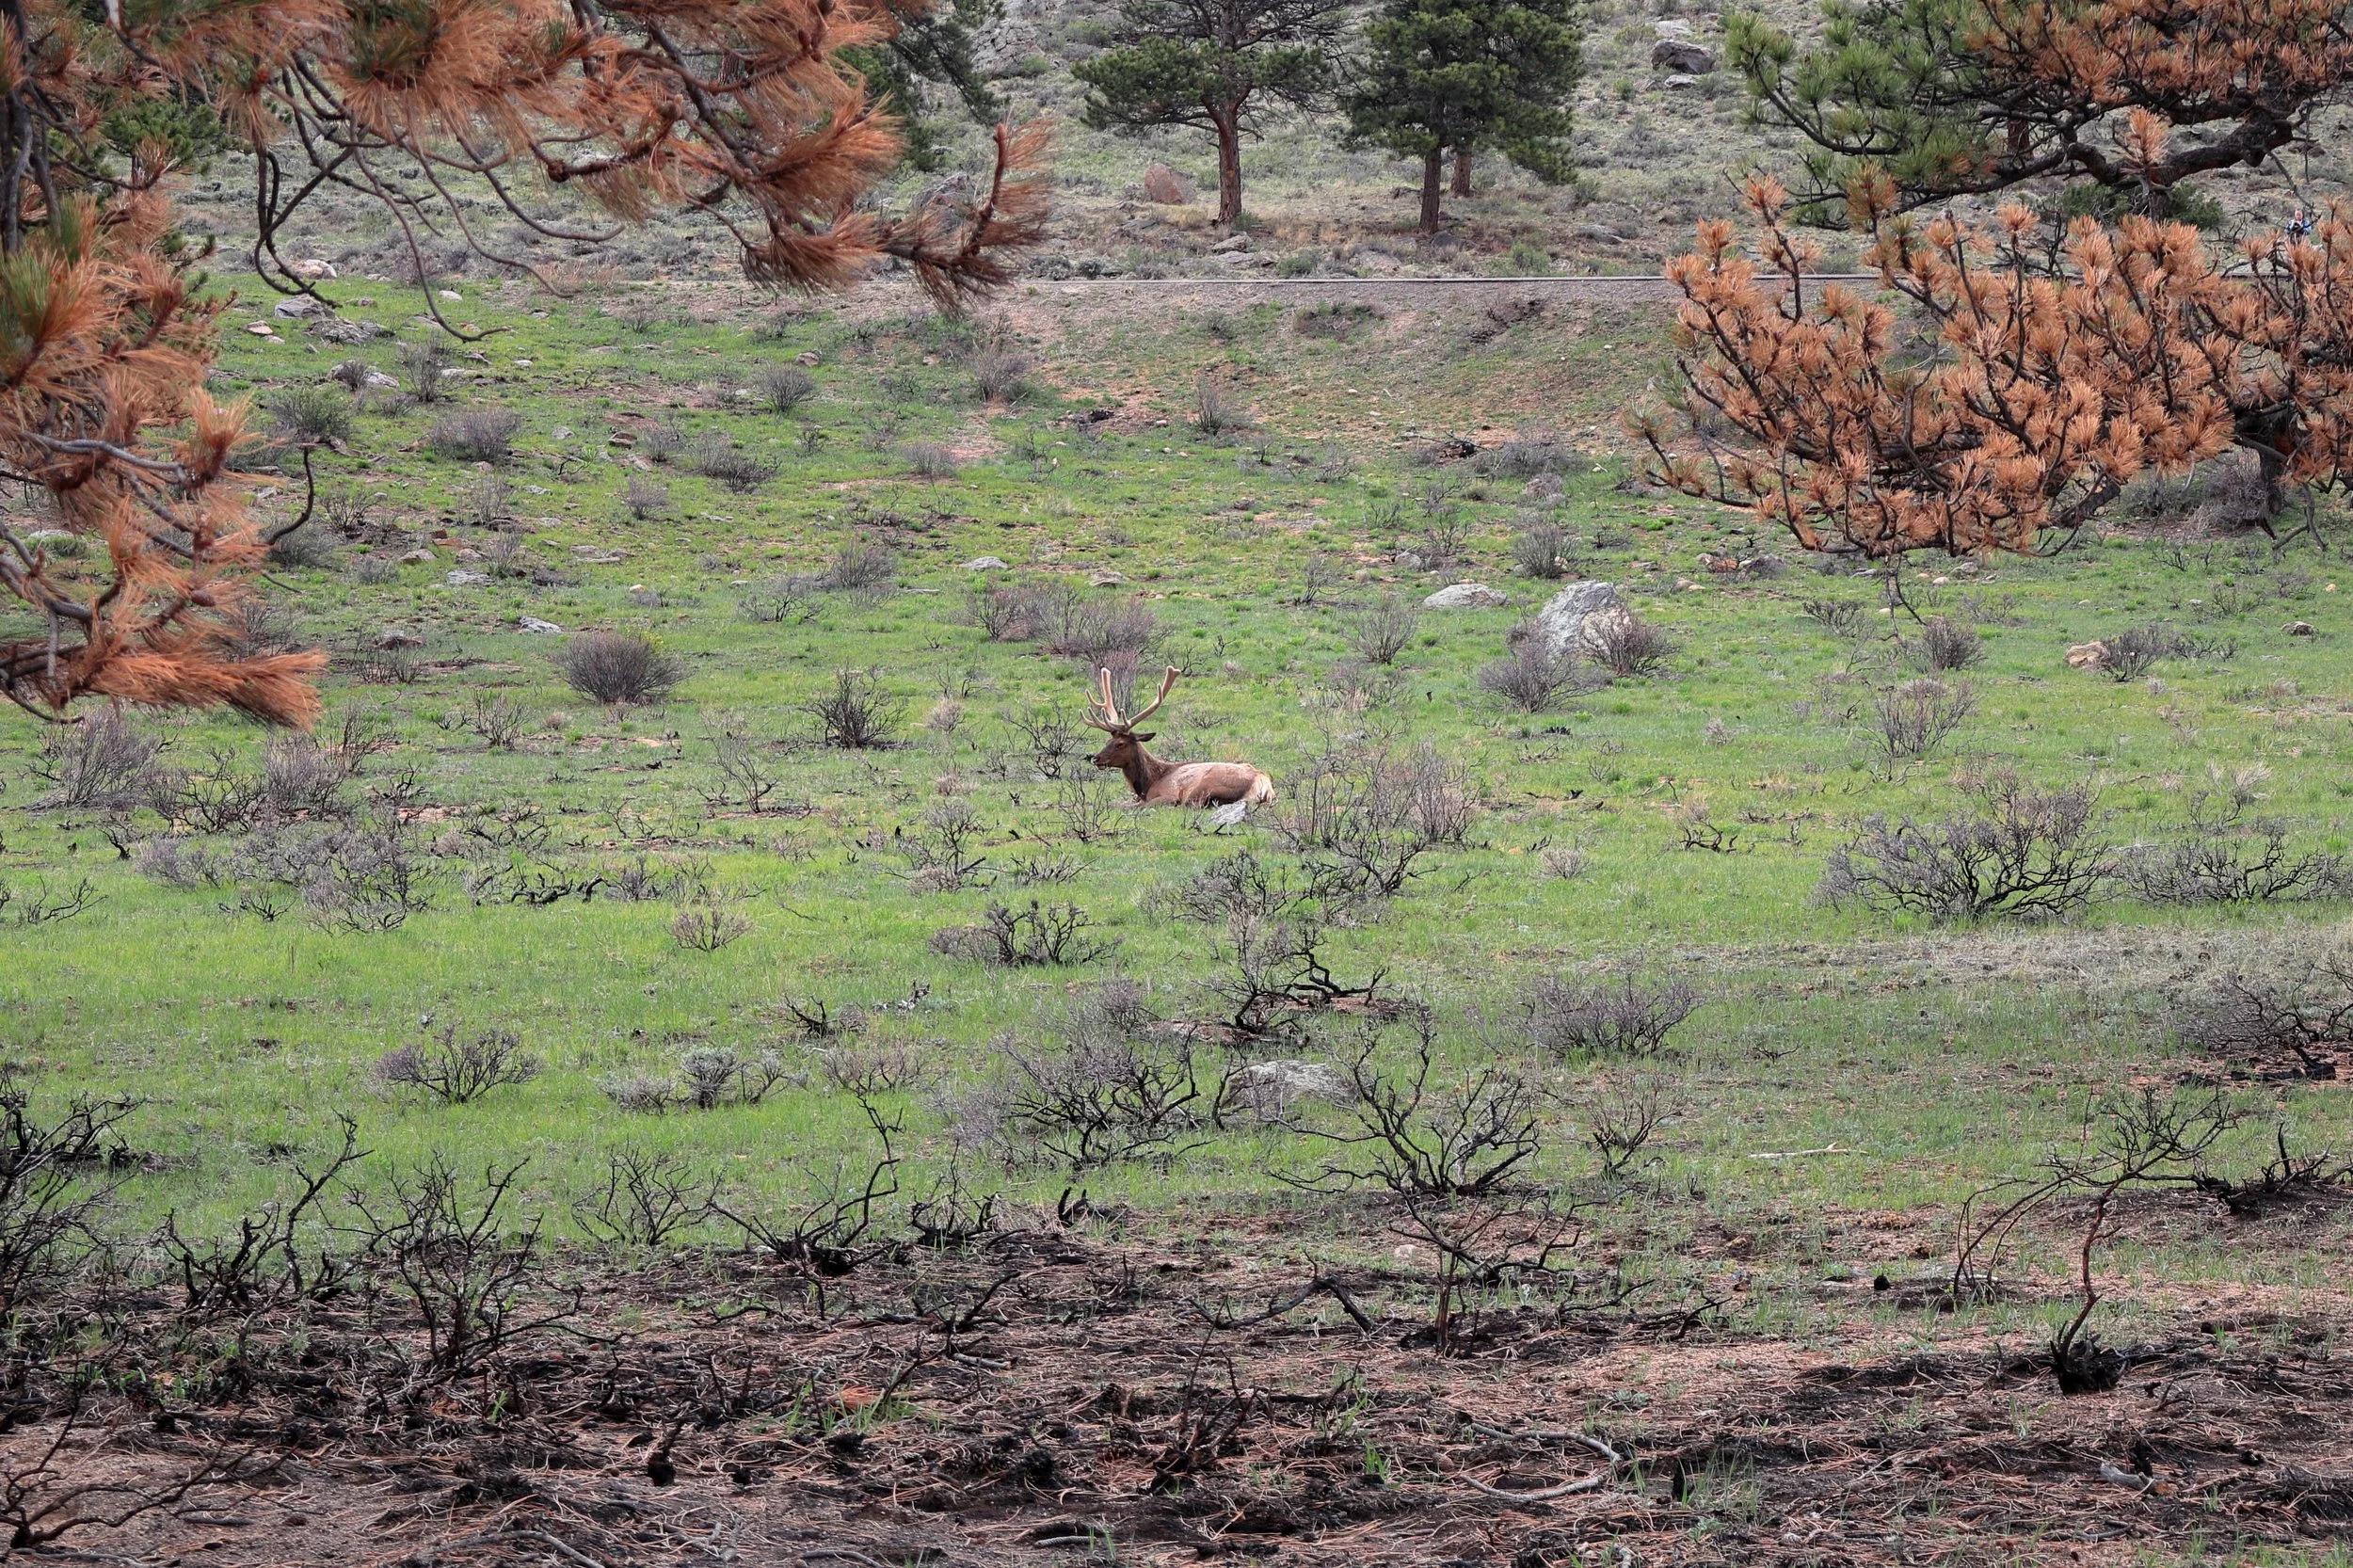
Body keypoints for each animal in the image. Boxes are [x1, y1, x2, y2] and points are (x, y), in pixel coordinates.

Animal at [1085, 664, 1273, 824]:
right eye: (1108, 741)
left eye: (1121, 744)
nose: (1095, 759)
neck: (1148, 783)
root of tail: (1263, 785)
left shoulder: (1168, 794)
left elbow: (1132, 806)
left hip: (1204, 787)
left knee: (1190, 805)